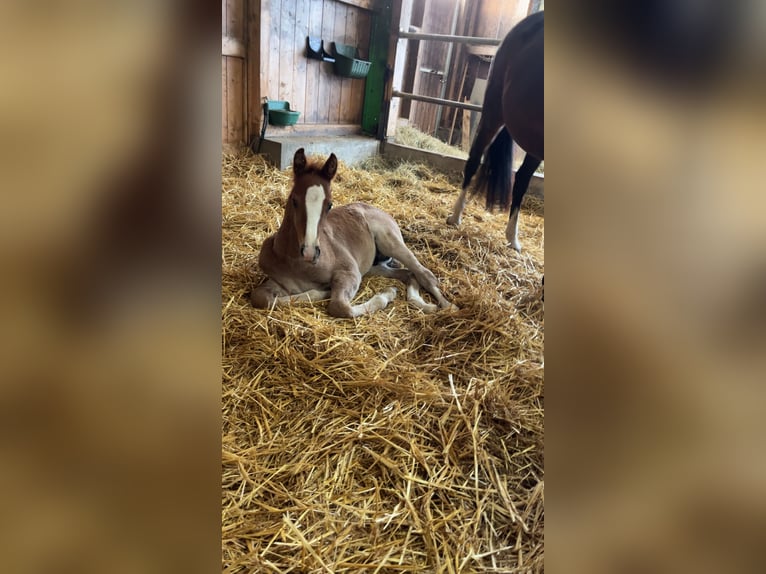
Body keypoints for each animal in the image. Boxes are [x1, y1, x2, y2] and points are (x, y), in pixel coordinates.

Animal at [250, 149, 457, 318]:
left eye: (329, 204)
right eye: (294, 200)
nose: (309, 252)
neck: (298, 264)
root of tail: (376, 209)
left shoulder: (349, 273)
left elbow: (340, 307)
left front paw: (386, 294)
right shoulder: (279, 283)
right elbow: (261, 298)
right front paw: (321, 292)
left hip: (391, 243)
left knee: (424, 274)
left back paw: (448, 306)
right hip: (373, 266)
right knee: (408, 274)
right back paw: (423, 304)